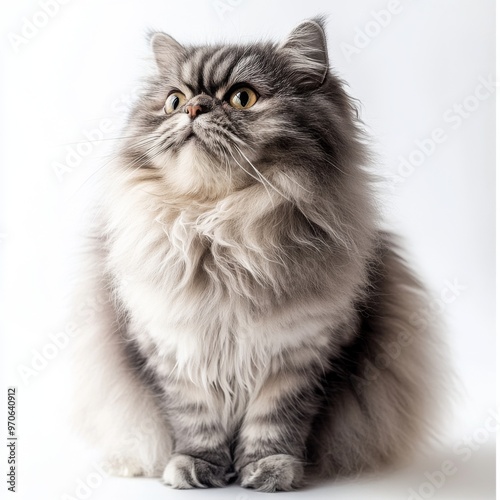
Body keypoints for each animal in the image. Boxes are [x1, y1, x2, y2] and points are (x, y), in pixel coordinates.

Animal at [69, 17, 446, 490]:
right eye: (174, 101)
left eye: (241, 97)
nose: (194, 109)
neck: (220, 231)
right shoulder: (173, 352)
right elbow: (195, 421)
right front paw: (195, 468)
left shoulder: (300, 355)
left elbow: (274, 422)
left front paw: (268, 471)